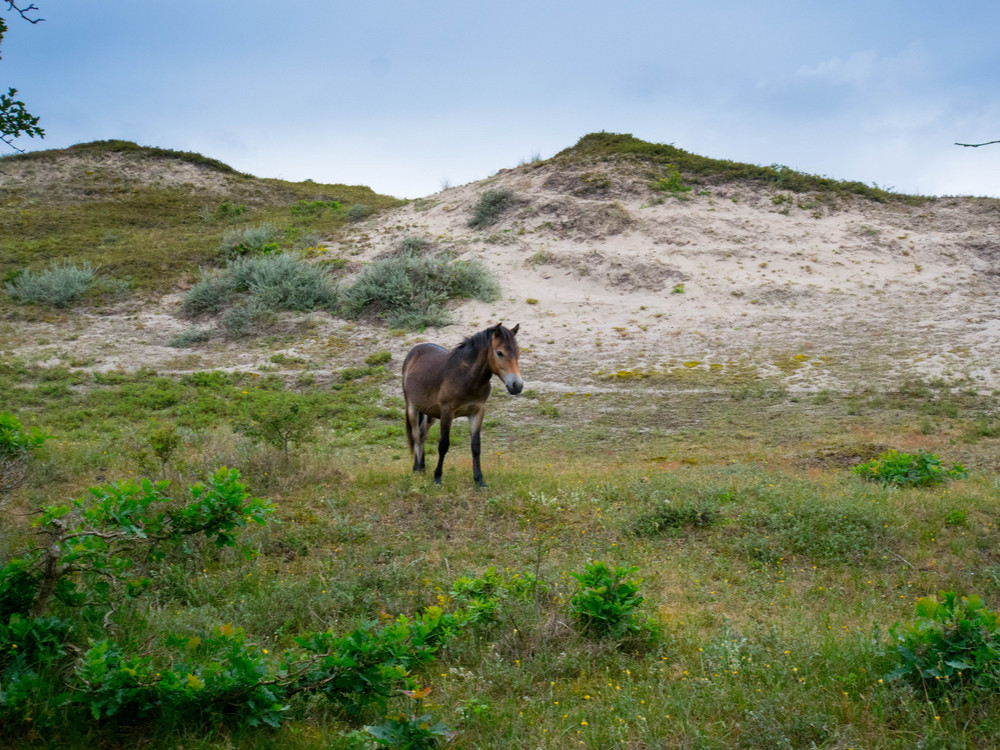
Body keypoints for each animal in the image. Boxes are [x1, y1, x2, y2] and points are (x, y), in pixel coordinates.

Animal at [400, 324, 524, 488]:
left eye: (518, 352)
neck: (466, 377)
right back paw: (416, 469)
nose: (517, 386)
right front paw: (437, 478)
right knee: (416, 435)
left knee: (422, 435)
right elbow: (443, 445)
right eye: (500, 353)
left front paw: (479, 480)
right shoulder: (447, 413)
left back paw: (422, 468)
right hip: (412, 408)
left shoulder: (477, 412)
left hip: (429, 413)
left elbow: (476, 446)